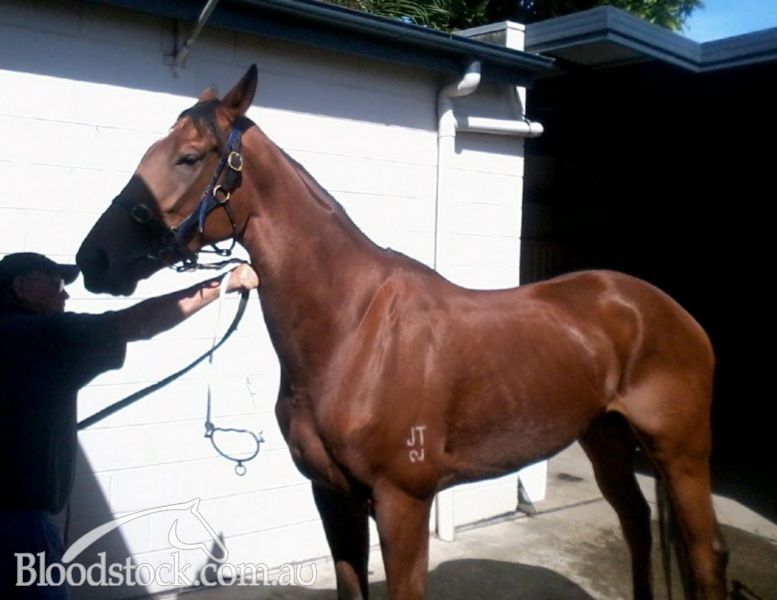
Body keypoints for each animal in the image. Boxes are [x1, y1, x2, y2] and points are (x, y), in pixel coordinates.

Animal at [76, 65, 729, 599]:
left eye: (189, 157)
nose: (93, 259)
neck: (353, 333)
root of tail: (666, 309)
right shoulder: (333, 497)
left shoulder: (403, 505)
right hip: (605, 438)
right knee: (637, 526)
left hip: (681, 451)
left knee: (706, 555)